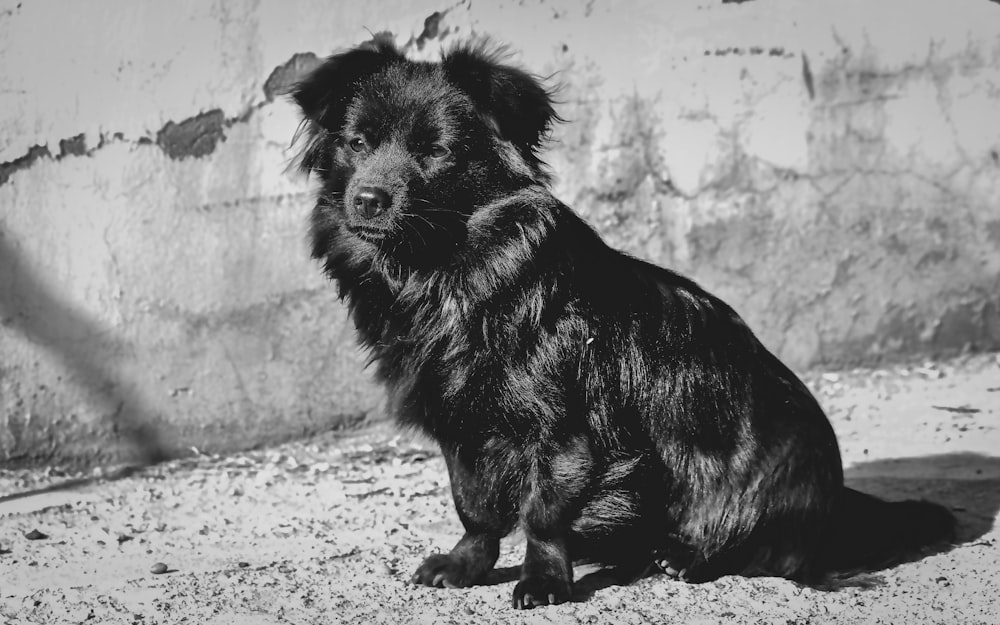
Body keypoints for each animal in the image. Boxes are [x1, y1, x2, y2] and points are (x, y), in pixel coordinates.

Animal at [290, 35, 952, 608]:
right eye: (357, 143)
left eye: (435, 151)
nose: (367, 200)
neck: (449, 276)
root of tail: (836, 498)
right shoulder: (462, 427)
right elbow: (474, 508)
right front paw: (463, 565)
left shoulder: (563, 434)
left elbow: (542, 513)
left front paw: (544, 579)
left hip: (765, 481)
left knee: (767, 552)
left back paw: (685, 556)